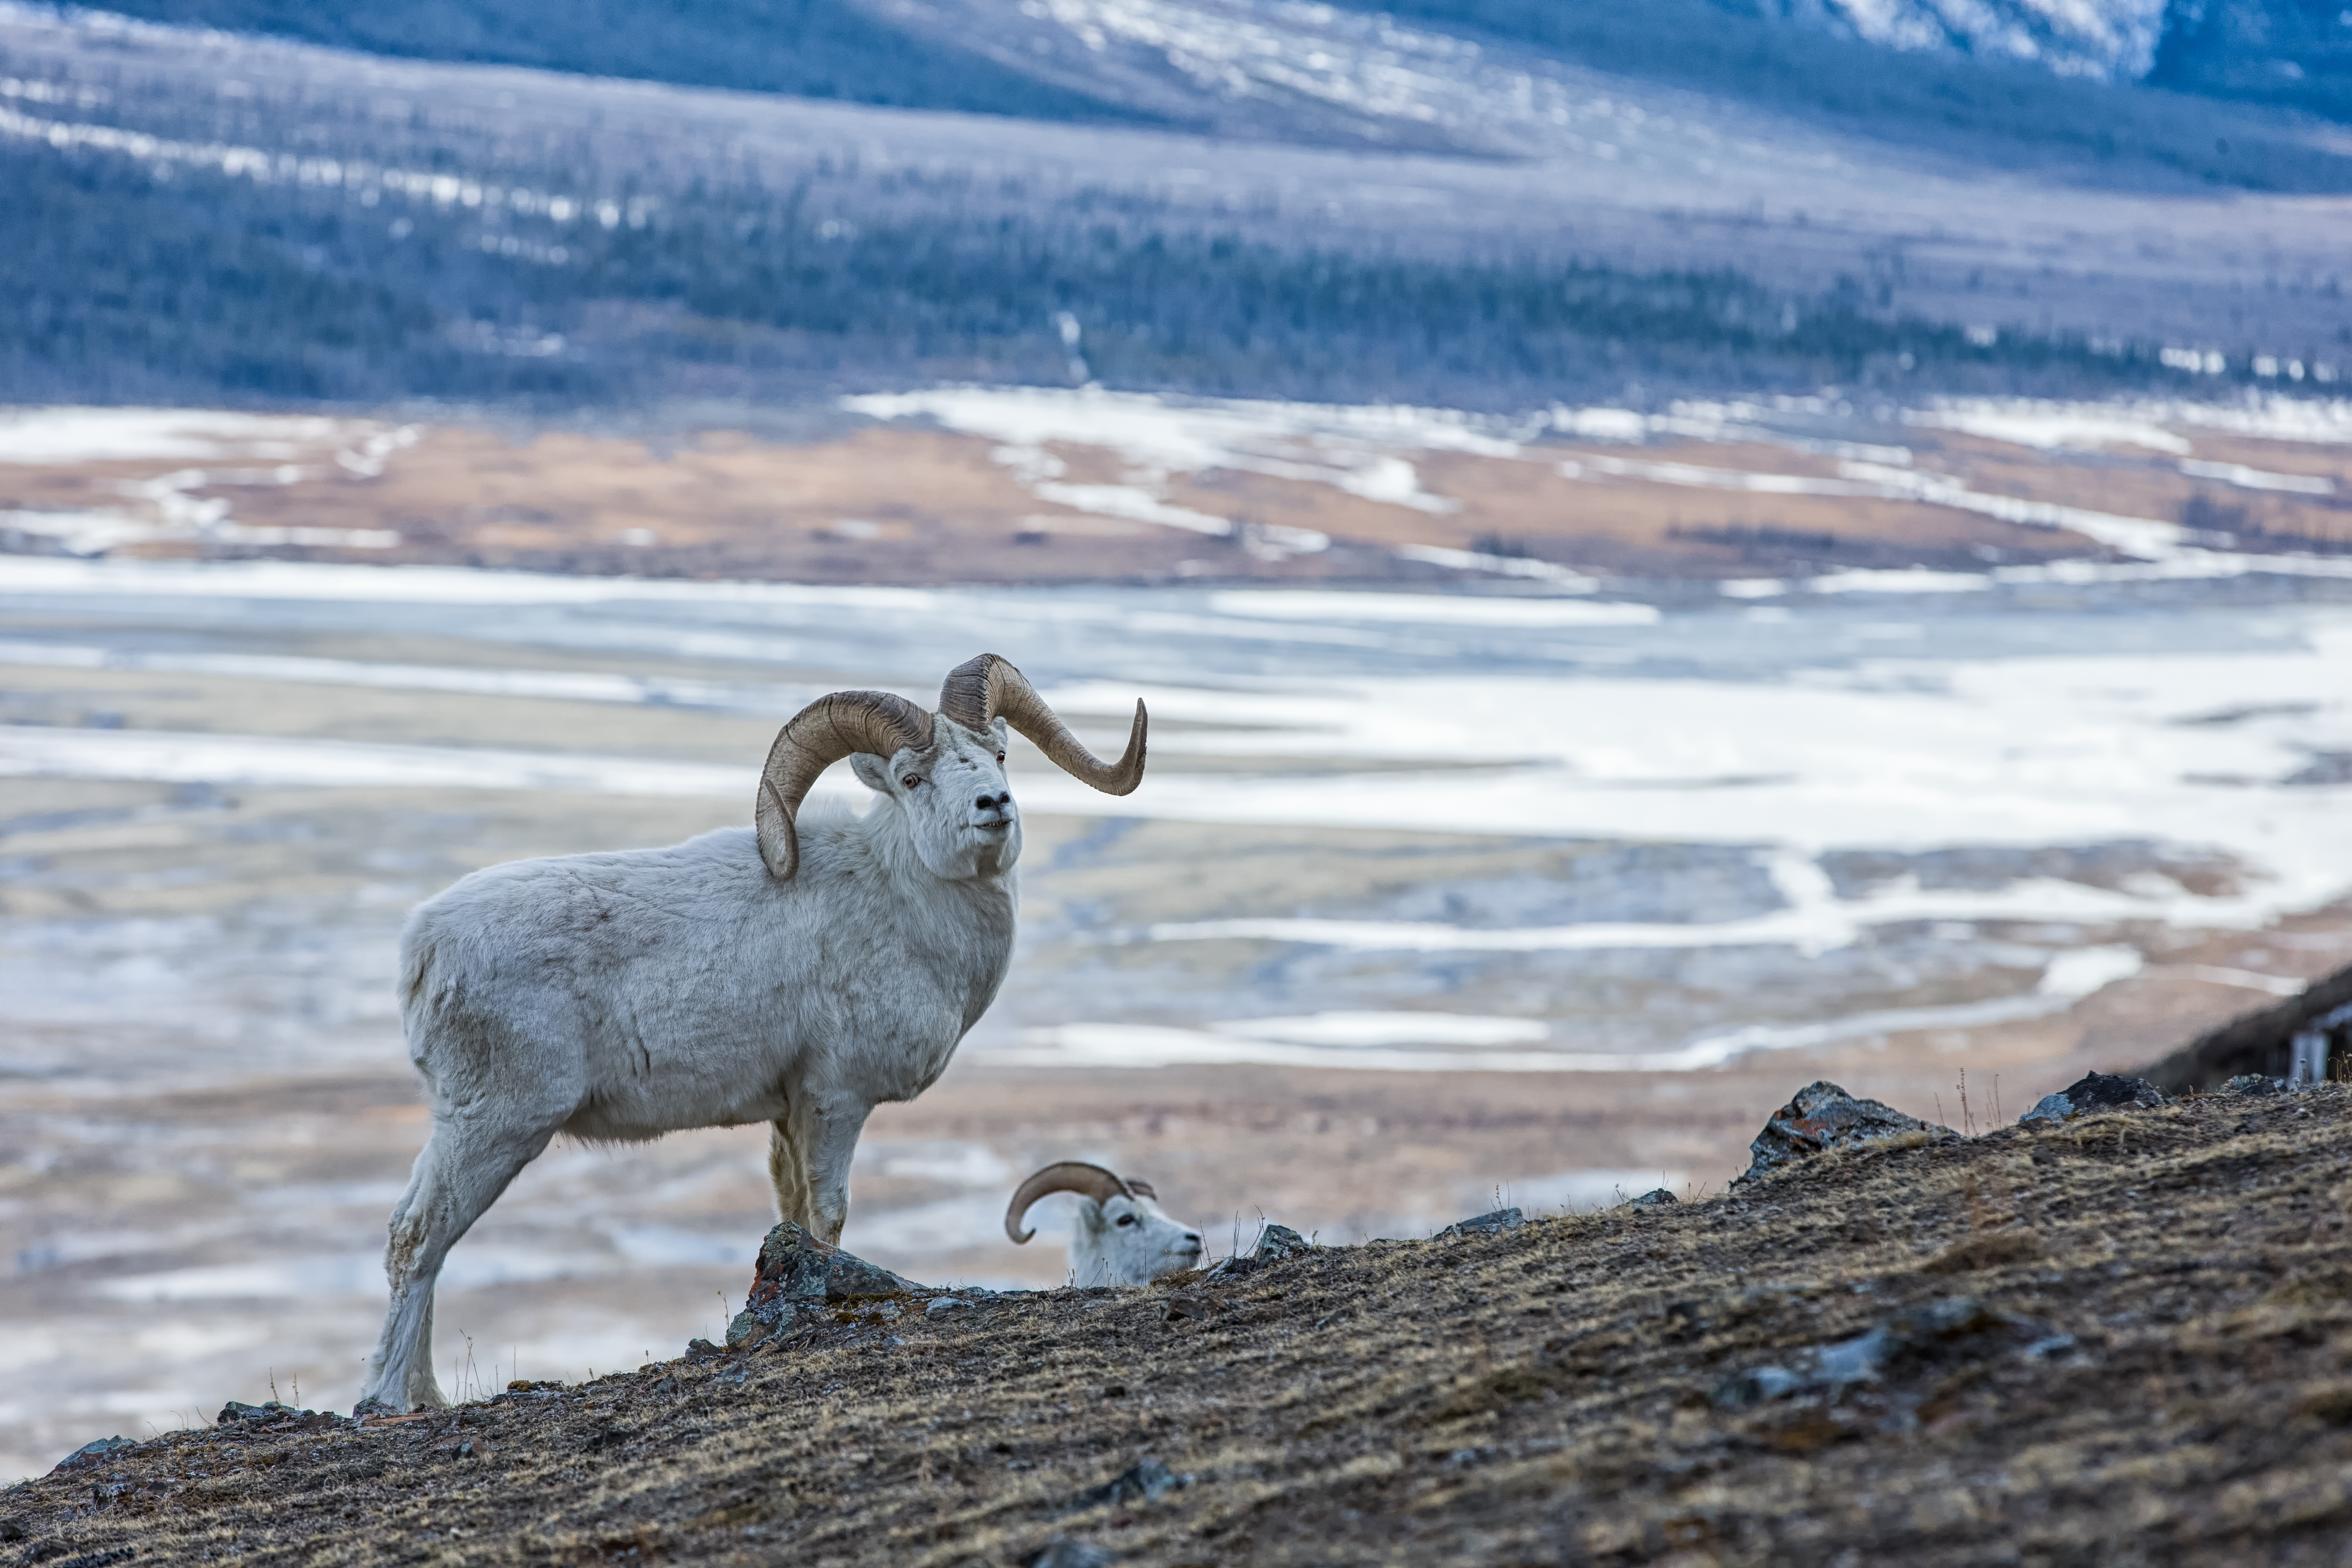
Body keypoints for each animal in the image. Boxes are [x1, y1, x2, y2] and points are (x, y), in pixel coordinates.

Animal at [356, 654, 1147, 1412]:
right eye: (913, 778)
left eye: (999, 756)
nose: (993, 807)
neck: (898, 899)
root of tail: (422, 947)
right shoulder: (836, 1101)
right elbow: (828, 1216)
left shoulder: (788, 1113)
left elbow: (790, 1214)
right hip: (498, 1124)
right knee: (419, 1239)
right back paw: (392, 1399)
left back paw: (423, 1395)